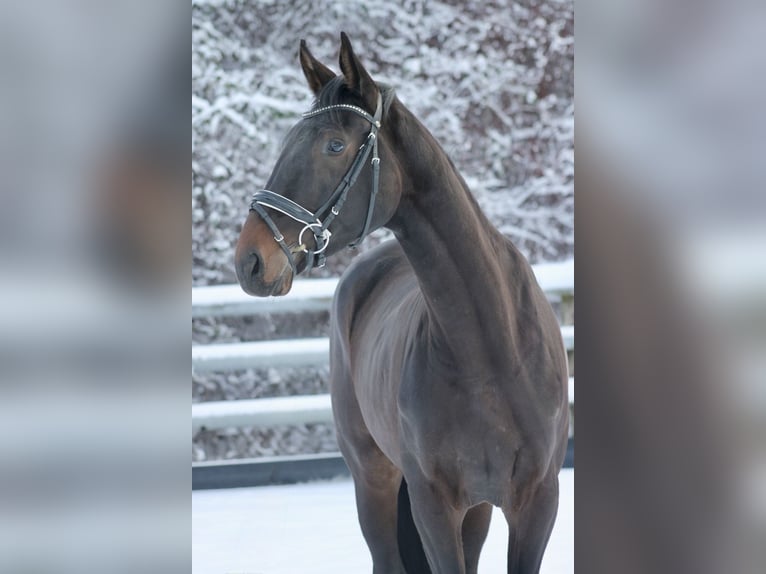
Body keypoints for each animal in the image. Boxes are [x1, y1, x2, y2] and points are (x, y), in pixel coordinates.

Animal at [235, 33, 569, 574]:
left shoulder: (537, 503)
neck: (491, 350)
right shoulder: (432, 505)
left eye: (334, 145)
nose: (250, 260)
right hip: (373, 479)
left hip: (476, 510)